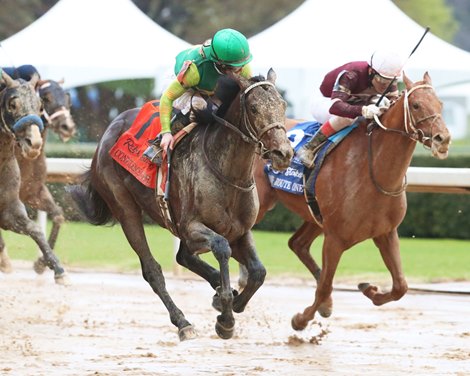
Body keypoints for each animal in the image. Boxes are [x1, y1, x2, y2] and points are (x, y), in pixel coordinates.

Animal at [0, 67, 76, 274]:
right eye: (47, 98)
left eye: (40, 105)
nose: (67, 127)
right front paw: (5, 261)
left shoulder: (32, 192)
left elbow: (56, 216)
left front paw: (42, 264)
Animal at [69, 70, 294, 340]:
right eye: (253, 108)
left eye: (282, 105)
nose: (284, 153)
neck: (228, 173)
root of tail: (109, 129)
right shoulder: (190, 226)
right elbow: (222, 247)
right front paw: (226, 319)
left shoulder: (240, 231)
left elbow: (259, 272)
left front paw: (229, 303)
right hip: (124, 206)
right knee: (152, 270)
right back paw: (183, 322)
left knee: (183, 256)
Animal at [253, 71, 452, 328]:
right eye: (416, 105)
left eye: (441, 103)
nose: (443, 139)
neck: (372, 171)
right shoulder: (335, 239)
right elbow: (325, 287)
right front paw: (301, 320)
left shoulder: (386, 233)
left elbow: (401, 286)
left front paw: (369, 289)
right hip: (258, 204)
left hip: (314, 215)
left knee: (297, 243)